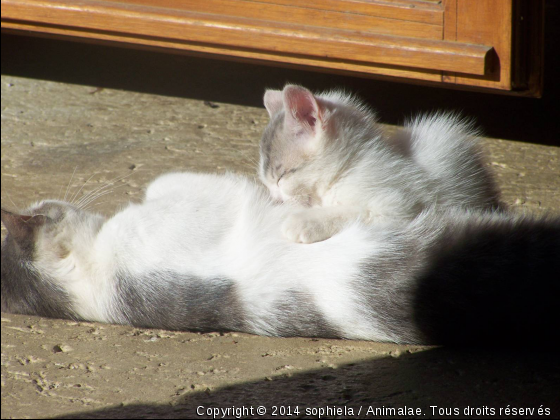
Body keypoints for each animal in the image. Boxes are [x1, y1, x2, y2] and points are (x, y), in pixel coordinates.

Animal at [258, 85, 498, 243]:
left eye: (281, 178)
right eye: (267, 183)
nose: (275, 200)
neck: (349, 166)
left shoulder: (401, 207)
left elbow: (355, 212)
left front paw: (303, 222)